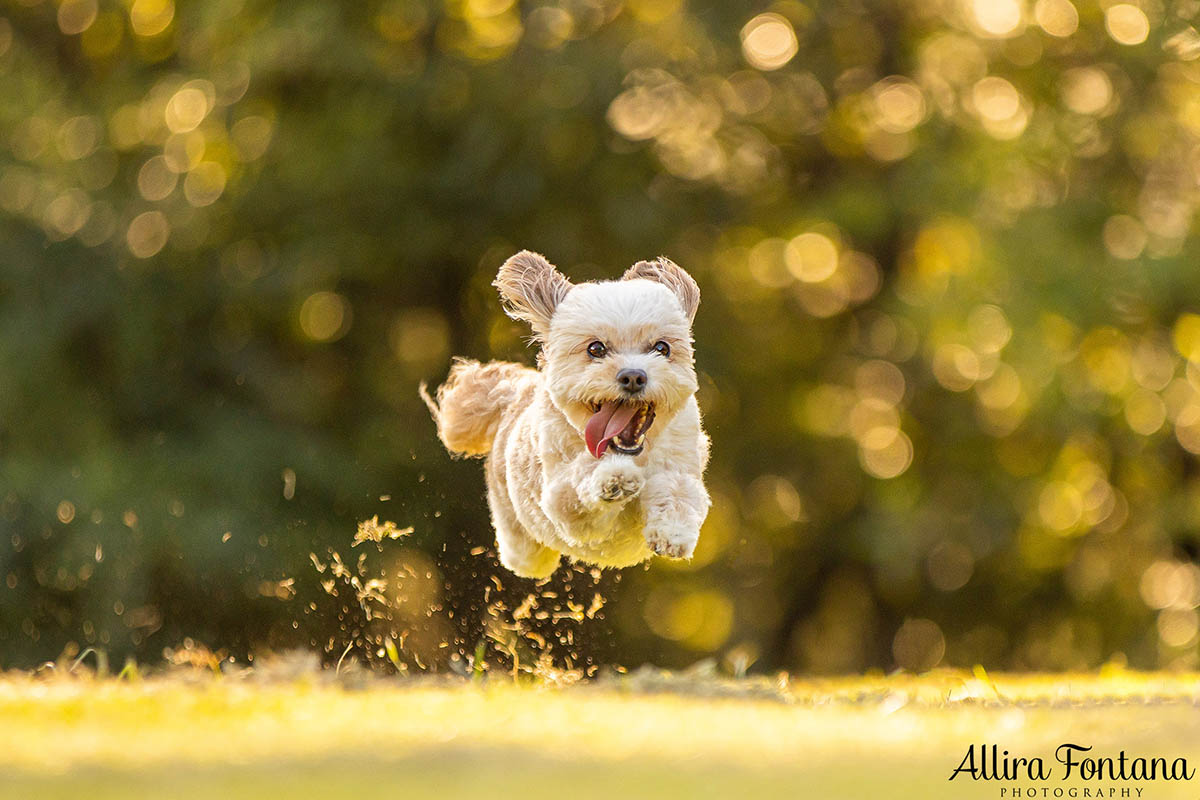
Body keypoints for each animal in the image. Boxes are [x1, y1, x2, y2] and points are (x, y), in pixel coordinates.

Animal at [422, 250, 705, 575]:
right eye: (596, 349)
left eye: (661, 348)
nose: (633, 376)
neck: (635, 453)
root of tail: (516, 391)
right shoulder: (561, 500)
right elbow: (580, 481)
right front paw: (615, 477)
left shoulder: (682, 461)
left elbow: (679, 492)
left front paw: (673, 533)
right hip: (525, 547)